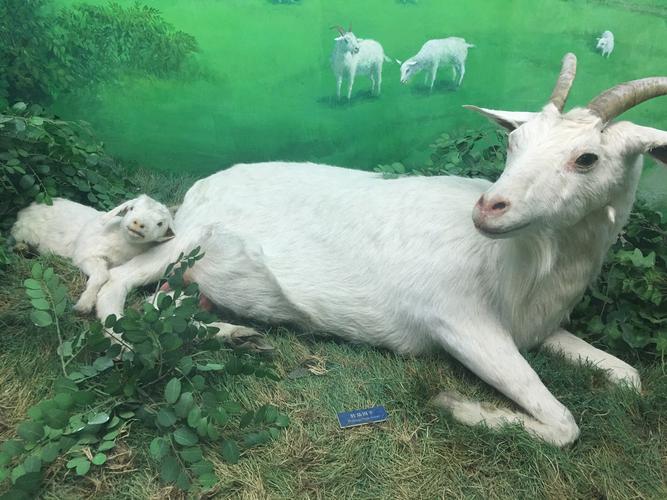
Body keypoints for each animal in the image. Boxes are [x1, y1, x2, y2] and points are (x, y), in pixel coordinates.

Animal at [12, 194, 175, 313]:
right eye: (131, 208)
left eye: (160, 223)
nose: (138, 223)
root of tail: (27, 208)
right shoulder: (85, 255)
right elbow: (102, 274)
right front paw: (84, 305)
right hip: (23, 231)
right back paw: (21, 248)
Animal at [94, 54, 667, 447]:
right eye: (514, 142)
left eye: (587, 158)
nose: (489, 209)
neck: (523, 269)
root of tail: (199, 188)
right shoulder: (458, 323)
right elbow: (566, 424)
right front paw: (455, 405)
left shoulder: (536, 331)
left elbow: (630, 378)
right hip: (187, 242)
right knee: (115, 288)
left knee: (162, 305)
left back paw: (241, 337)